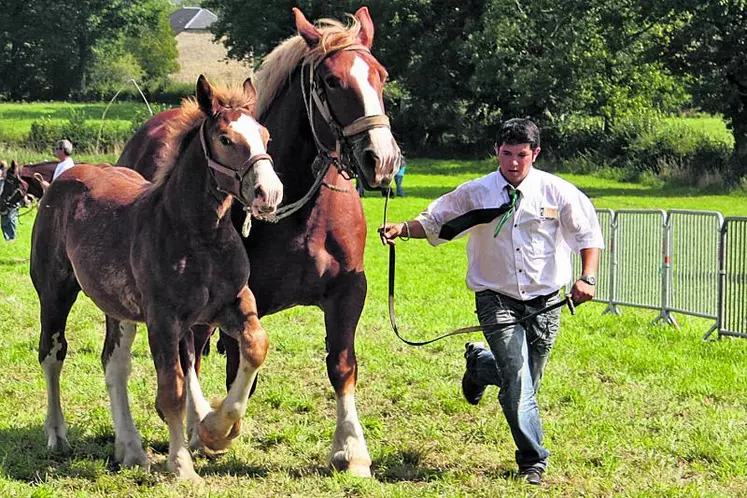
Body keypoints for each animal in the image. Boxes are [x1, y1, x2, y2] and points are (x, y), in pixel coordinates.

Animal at [30, 75, 284, 482]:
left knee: (114, 363)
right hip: (54, 293)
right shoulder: (163, 319)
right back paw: (57, 434)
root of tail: (65, 176)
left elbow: (255, 346)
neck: (198, 234)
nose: (269, 193)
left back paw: (131, 450)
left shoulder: (231, 305)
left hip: (118, 308)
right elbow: (173, 390)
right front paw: (181, 464)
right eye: (226, 139)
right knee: (52, 354)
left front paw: (215, 430)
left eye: (265, 135)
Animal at [119, 6, 404, 474]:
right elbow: (226, 364)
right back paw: (199, 424)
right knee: (191, 353)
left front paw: (351, 448)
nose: (381, 159)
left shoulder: (349, 291)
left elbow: (341, 364)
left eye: (380, 76)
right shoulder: (230, 298)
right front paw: (213, 427)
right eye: (331, 81)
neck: (303, 214)